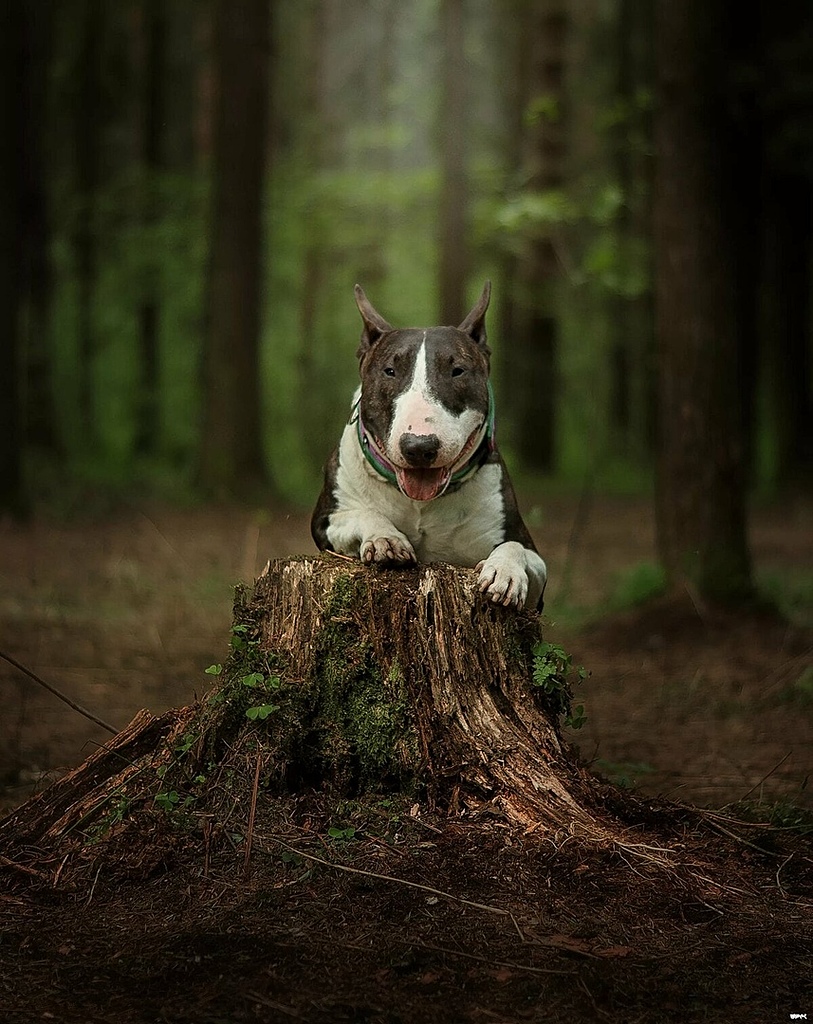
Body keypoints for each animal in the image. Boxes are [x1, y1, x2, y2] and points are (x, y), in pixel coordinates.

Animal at [311, 282, 544, 606]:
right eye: (390, 371)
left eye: (458, 370)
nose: (419, 448)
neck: (421, 503)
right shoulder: (324, 521)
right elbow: (363, 512)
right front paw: (385, 538)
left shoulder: (531, 559)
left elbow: (515, 546)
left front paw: (504, 571)